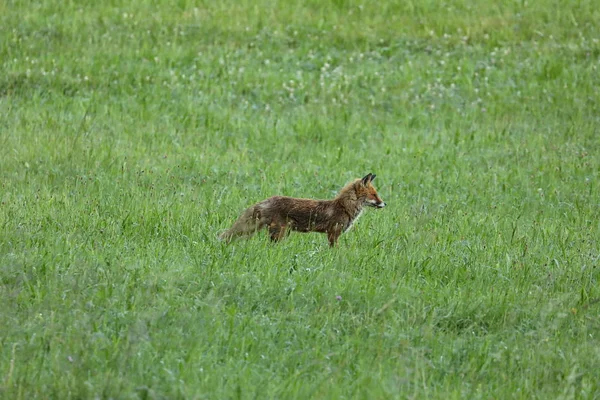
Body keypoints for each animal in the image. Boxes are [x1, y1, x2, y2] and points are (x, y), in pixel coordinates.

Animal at [219, 173, 384, 247]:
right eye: (374, 195)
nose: (384, 204)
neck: (344, 207)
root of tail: (266, 200)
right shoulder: (333, 233)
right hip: (280, 232)